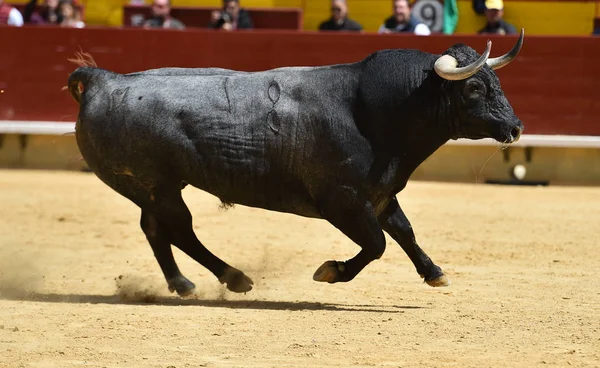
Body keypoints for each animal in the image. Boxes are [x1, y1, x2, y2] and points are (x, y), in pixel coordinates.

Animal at [67, 30, 524, 296]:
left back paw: (183, 284)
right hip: (156, 185)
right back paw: (235, 278)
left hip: (153, 188)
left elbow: (404, 232)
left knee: (155, 229)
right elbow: (377, 244)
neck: (374, 110)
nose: (516, 127)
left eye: (497, 82)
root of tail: (104, 80)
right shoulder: (341, 202)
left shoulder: (378, 196)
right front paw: (331, 271)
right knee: (178, 229)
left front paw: (434, 272)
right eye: (475, 89)